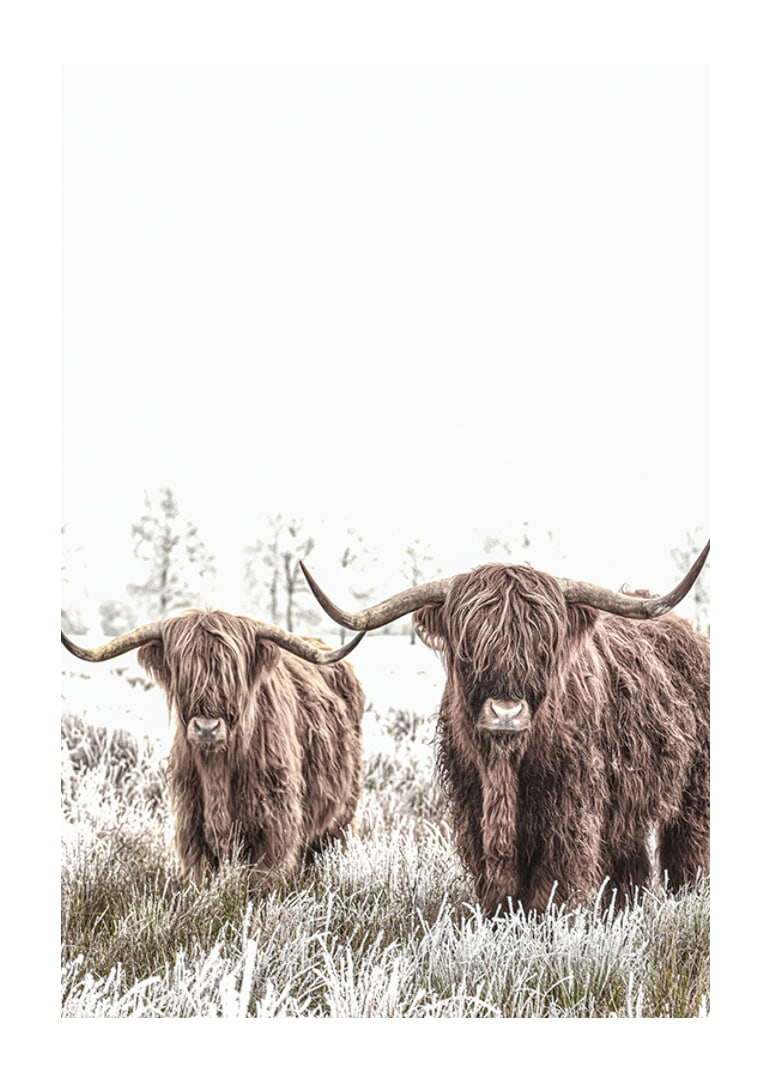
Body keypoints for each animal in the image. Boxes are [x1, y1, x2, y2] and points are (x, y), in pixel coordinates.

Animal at [61, 611, 366, 888]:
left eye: (232, 673)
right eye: (183, 672)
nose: (207, 728)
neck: (217, 769)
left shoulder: (275, 825)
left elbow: (261, 882)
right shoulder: (191, 826)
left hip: (343, 813)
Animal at [300, 543, 710, 916]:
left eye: (543, 648)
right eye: (469, 648)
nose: (506, 713)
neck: (506, 765)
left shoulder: (570, 812)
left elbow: (553, 883)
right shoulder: (472, 808)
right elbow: (498, 885)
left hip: (695, 787)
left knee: (688, 846)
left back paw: (687, 898)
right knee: (631, 858)